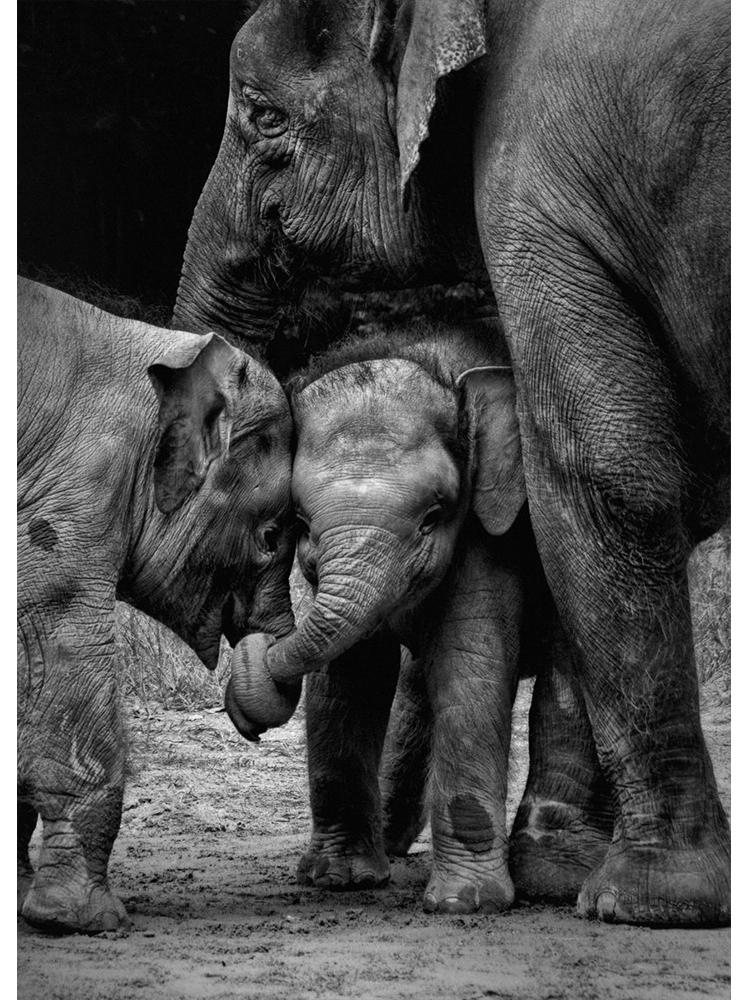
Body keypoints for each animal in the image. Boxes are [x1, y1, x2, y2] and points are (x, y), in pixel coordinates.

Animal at [229, 316, 615, 912]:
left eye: (433, 516)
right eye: (301, 522)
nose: (253, 650)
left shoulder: (487, 530)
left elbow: (467, 665)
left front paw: (464, 903)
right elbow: (348, 679)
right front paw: (339, 880)